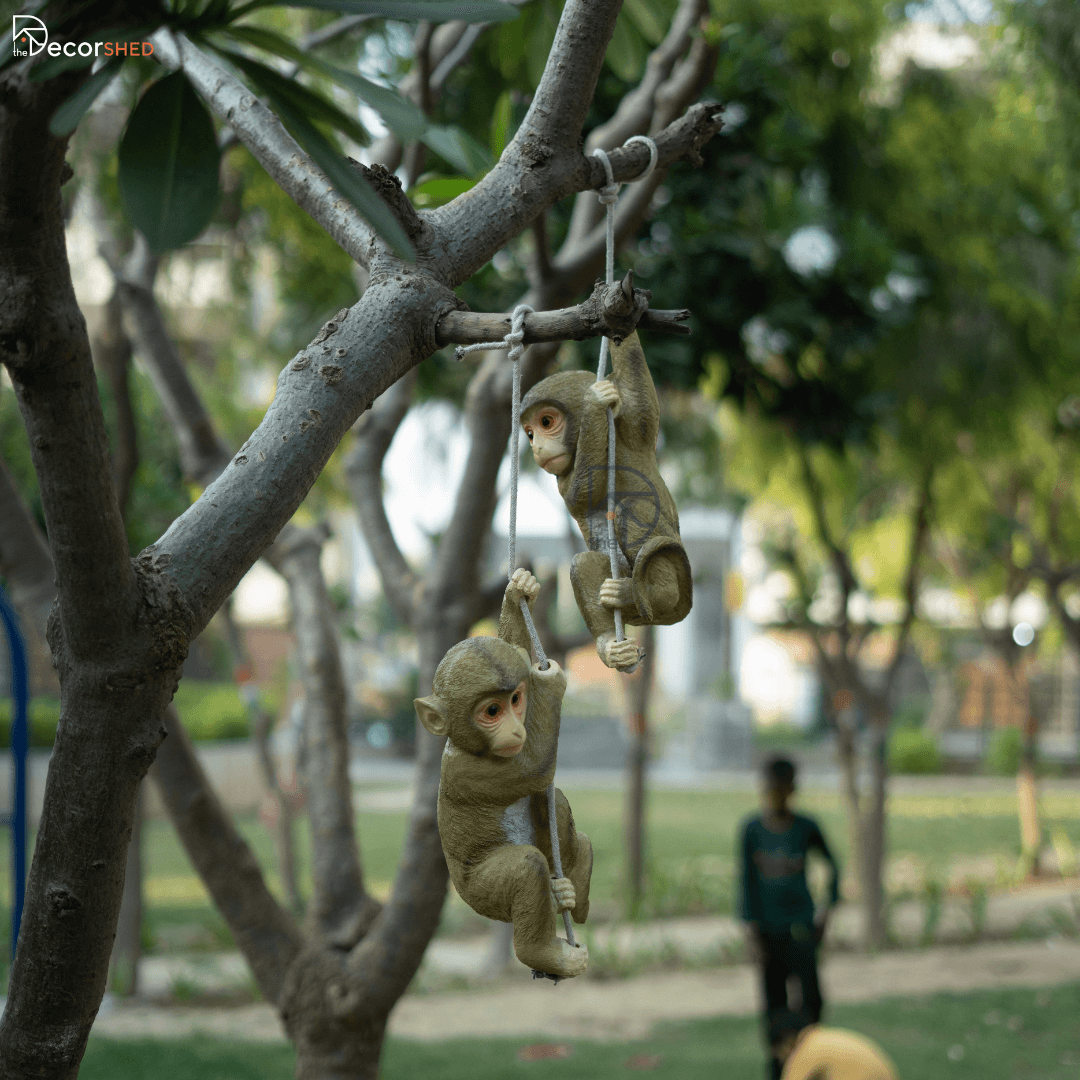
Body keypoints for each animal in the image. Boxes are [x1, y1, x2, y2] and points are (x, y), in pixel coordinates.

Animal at [414, 568, 592, 979]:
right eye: (492, 711)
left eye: (515, 701)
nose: (515, 728)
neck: (471, 746)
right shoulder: (469, 772)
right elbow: (536, 766)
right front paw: (550, 681)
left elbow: (513, 647)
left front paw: (518, 591)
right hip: (482, 892)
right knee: (526, 869)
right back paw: (545, 953)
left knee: (551, 800)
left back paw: (572, 886)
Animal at [519, 330, 692, 673]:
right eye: (530, 433)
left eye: (546, 422)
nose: (537, 447)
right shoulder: (561, 477)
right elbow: (580, 495)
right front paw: (592, 403)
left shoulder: (636, 426)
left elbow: (637, 382)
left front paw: (620, 316)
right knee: (585, 561)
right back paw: (612, 646)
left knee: (632, 511)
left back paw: (657, 592)